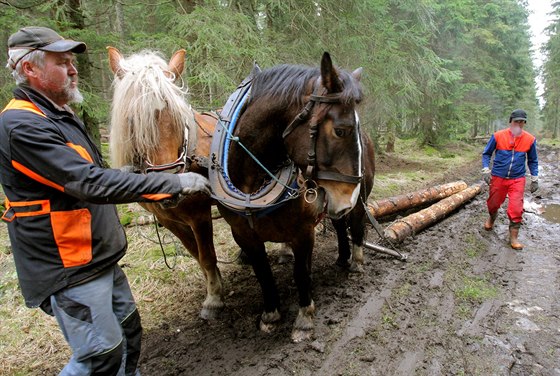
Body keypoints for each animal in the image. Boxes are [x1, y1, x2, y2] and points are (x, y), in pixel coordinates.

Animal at [106, 47, 223, 320]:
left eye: (178, 117)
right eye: (132, 120)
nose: (169, 186)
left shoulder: (200, 215)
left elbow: (207, 255)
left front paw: (213, 299)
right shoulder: (170, 221)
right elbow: (197, 256)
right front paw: (215, 284)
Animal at [212, 52, 366, 340]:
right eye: (341, 130)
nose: (348, 199)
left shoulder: (302, 232)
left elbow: (300, 272)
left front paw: (304, 316)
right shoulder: (243, 234)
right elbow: (263, 272)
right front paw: (271, 314)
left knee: (357, 226)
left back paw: (356, 261)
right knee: (340, 225)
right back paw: (342, 258)